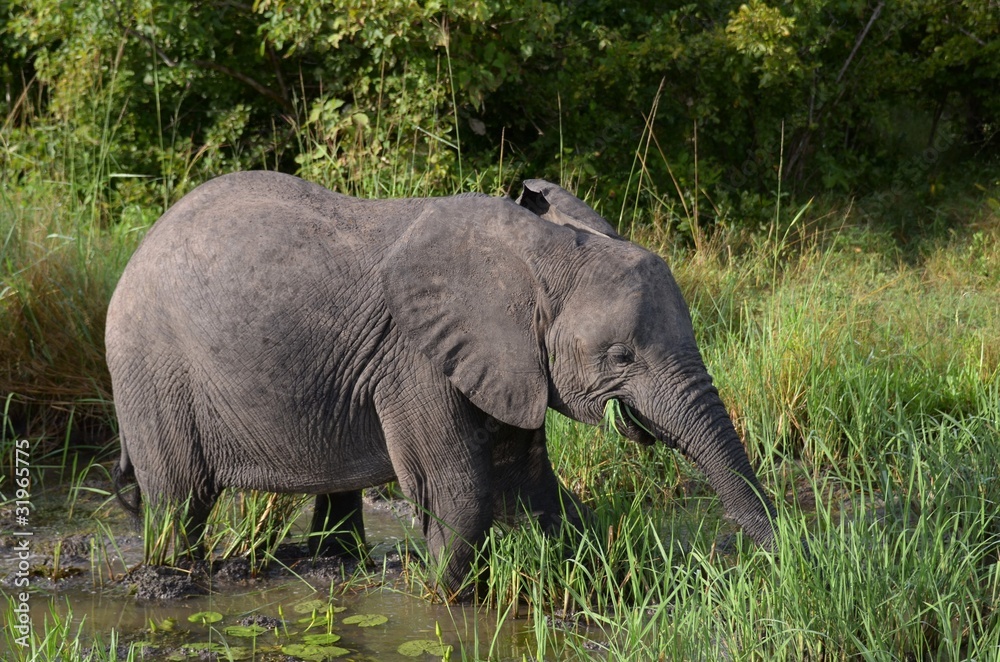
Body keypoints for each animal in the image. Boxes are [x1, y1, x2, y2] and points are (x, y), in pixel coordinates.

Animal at [107, 171, 777, 598]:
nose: (772, 559)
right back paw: (170, 581)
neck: (539, 256)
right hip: (152, 367)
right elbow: (461, 493)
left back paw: (335, 568)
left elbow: (530, 482)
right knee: (180, 498)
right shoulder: (416, 361)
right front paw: (441, 598)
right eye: (620, 356)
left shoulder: (508, 364)